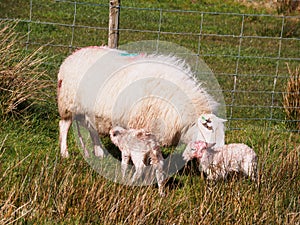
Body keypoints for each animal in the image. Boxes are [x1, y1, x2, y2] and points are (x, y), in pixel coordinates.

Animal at [57, 45, 226, 158]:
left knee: (89, 128)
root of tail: (73, 55)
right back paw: (65, 153)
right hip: (68, 103)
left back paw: (97, 153)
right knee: (64, 126)